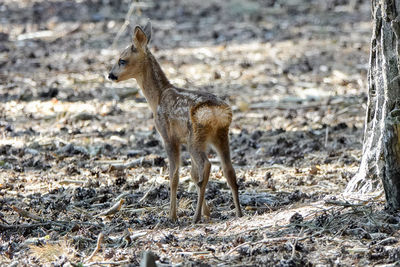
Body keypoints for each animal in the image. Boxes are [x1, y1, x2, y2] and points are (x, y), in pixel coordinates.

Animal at [108, 21, 242, 223]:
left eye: (121, 60)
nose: (110, 75)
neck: (157, 98)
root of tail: (213, 112)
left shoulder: (169, 137)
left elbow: (174, 177)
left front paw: (172, 216)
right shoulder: (184, 140)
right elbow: (193, 175)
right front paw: (208, 212)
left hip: (196, 137)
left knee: (207, 165)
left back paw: (195, 217)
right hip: (220, 135)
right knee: (228, 169)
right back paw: (238, 212)